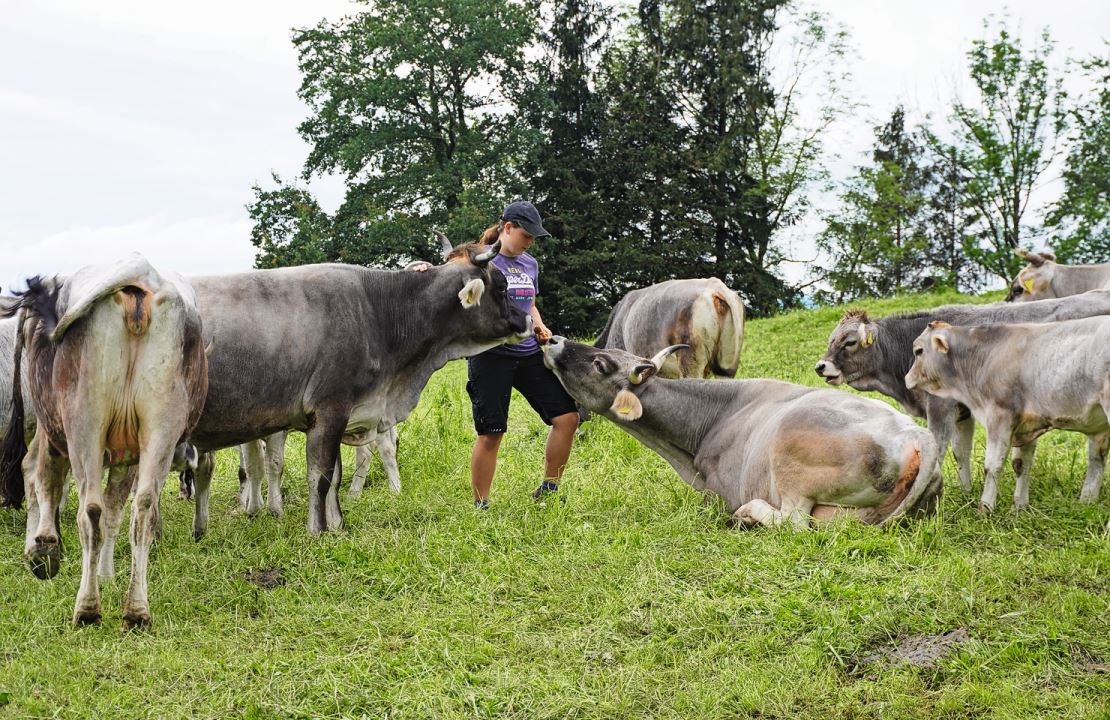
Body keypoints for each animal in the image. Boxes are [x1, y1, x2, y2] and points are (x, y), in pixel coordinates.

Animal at [541, 335, 941, 525]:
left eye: (600, 363)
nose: (553, 339)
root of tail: (916, 435)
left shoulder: (717, 494)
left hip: (790, 461)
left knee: (794, 523)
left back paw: (748, 514)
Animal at [905, 317, 1110, 514]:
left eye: (918, 351)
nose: (907, 378)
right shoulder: (1027, 426)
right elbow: (1021, 464)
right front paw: (1019, 508)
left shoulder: (999, 417)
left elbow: (992, 466)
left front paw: (985, 509)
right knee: (1097, 460)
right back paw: (1086, 503)